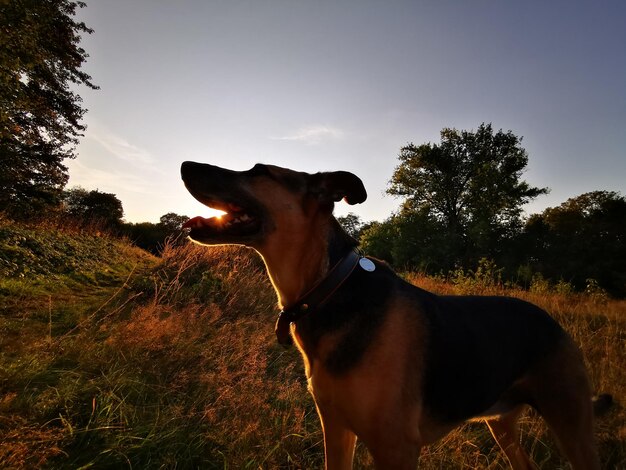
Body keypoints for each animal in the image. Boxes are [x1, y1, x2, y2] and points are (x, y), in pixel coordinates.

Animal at [179, 161, 604, 466]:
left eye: (259, 171)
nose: (185, 164)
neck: (329, 287)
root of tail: (553, 321)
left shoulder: (396, 446)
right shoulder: (336, 429)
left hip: (572, 422)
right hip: (501, 423)